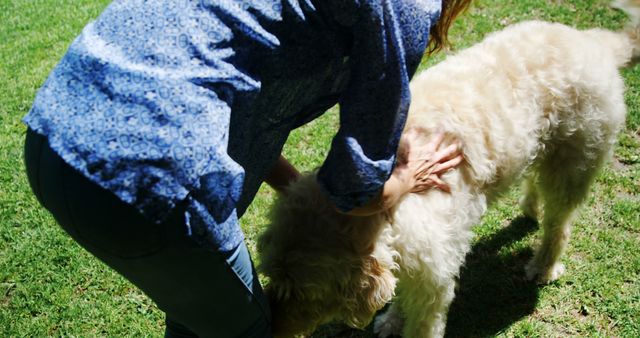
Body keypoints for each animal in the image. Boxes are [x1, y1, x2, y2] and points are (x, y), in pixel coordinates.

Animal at [258, 1, 636, 336]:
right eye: (271, 276)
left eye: (301, 291)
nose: (272, 328)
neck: (387, 209)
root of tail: (593, 43)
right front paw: (391, 320)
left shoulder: (432, 282)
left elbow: (422, 323)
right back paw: (530, 206)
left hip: (573, 163)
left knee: (560, 224)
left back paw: (543, 265)